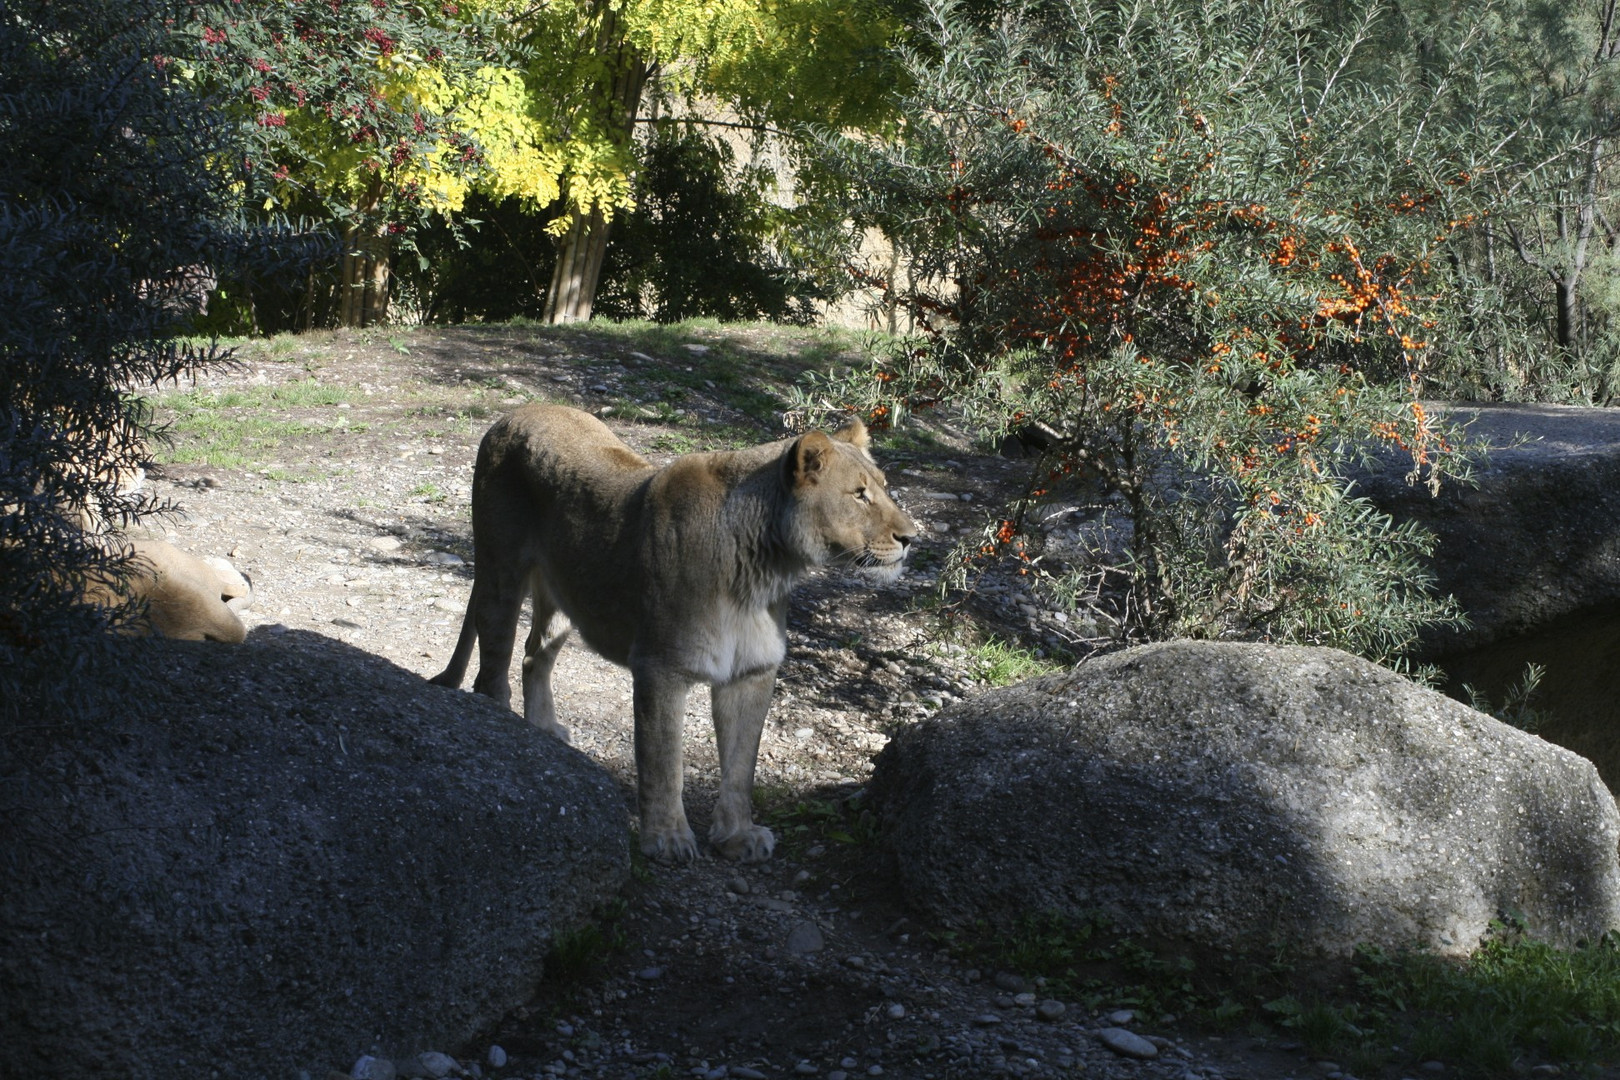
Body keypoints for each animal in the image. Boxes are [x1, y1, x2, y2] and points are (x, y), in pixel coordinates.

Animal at [430, 401, 913, 867]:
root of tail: (513, 414)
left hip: (565, 593)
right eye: (859, 494)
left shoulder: (752, 672)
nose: (911, 537)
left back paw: (544, 732)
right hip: (501, 571)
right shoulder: (660, 668)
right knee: (493, 666)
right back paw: (509, 733)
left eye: (884, 487)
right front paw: (667, 839)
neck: (763, 571)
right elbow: (663, 764)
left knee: (535, 654)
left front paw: (737, 836)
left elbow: (741, 766)